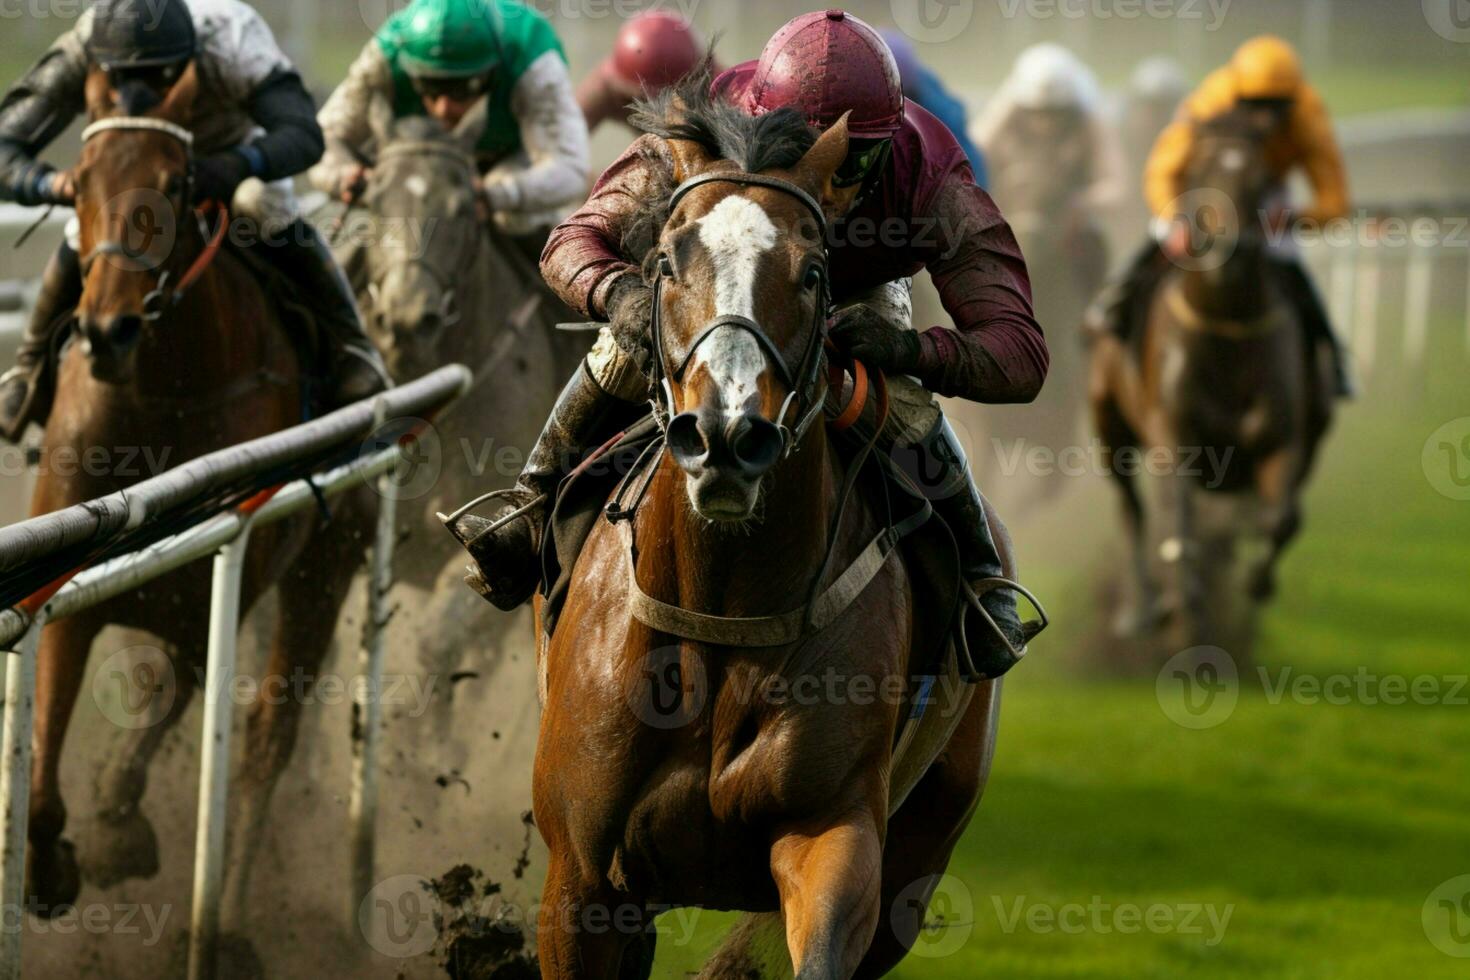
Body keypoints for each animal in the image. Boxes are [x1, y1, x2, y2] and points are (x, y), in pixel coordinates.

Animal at [25, 65, 367, 952]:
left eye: (177, 182)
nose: (107, 330)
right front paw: (49, 867)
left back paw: (235, 928)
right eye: (79, 183)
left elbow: (164, 703)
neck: (165, 396)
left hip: (327, 569)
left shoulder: (220, 576)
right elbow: (46, 741)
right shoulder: (73, 580)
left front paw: (115, 829)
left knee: (267, 742)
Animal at [1093, 110, 1334, 652]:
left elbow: (1281, 519)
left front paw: (1255, 583)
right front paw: (1184, 623)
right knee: (1132, 509)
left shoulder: (1284, 441)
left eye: (1262, 179)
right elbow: (1178, 534)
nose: (1230, 250)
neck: (1228, 330)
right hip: (1109, 422)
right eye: (1200, 170)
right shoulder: (1174, 439)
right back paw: (1141, 609)